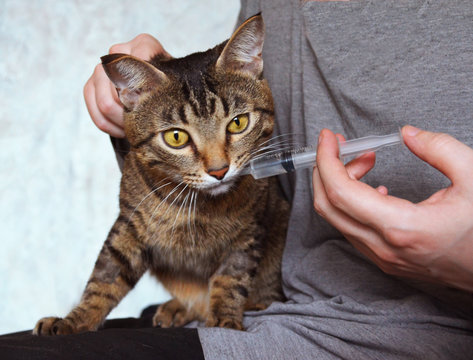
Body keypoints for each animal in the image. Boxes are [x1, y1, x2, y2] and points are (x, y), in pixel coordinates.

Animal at [32, 14, 288, 334]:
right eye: (176, 137)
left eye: (238, 123)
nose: (219, 170)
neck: (201, 208)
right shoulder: (130, 224)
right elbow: (104, 278)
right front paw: (73, 320)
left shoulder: (249, 232)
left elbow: (231, 279)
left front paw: (224, 321)